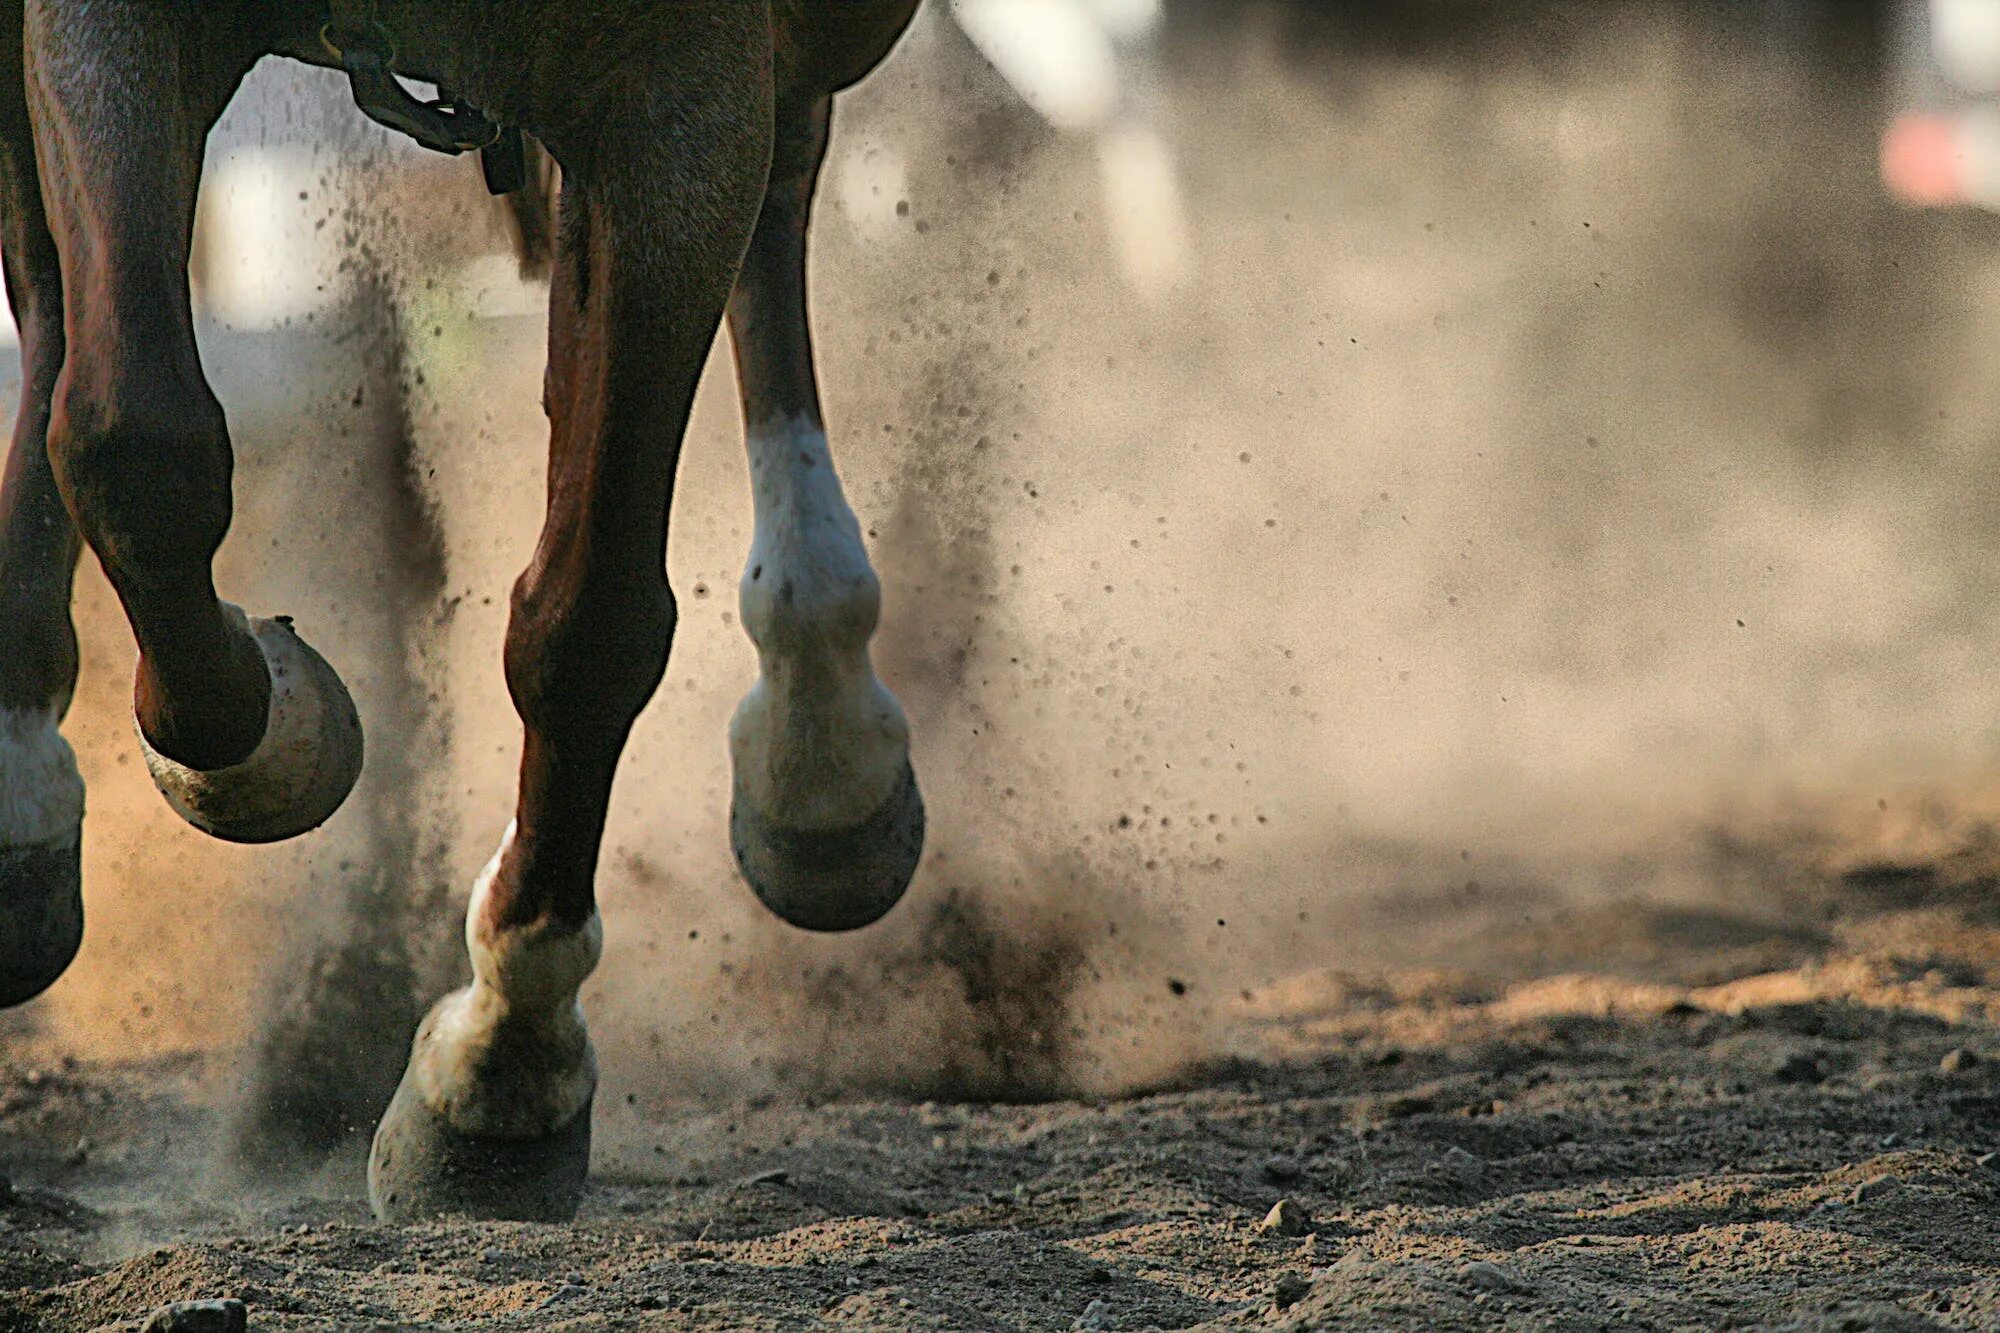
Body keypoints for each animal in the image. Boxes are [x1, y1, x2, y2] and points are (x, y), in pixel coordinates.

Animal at [0, 0, 924, 1216]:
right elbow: (130, 442)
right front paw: (269, 734)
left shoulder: (681, 93)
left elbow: (589, 621)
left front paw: (501, 1066)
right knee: (56, 301)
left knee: (783, 181)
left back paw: (821, 743)